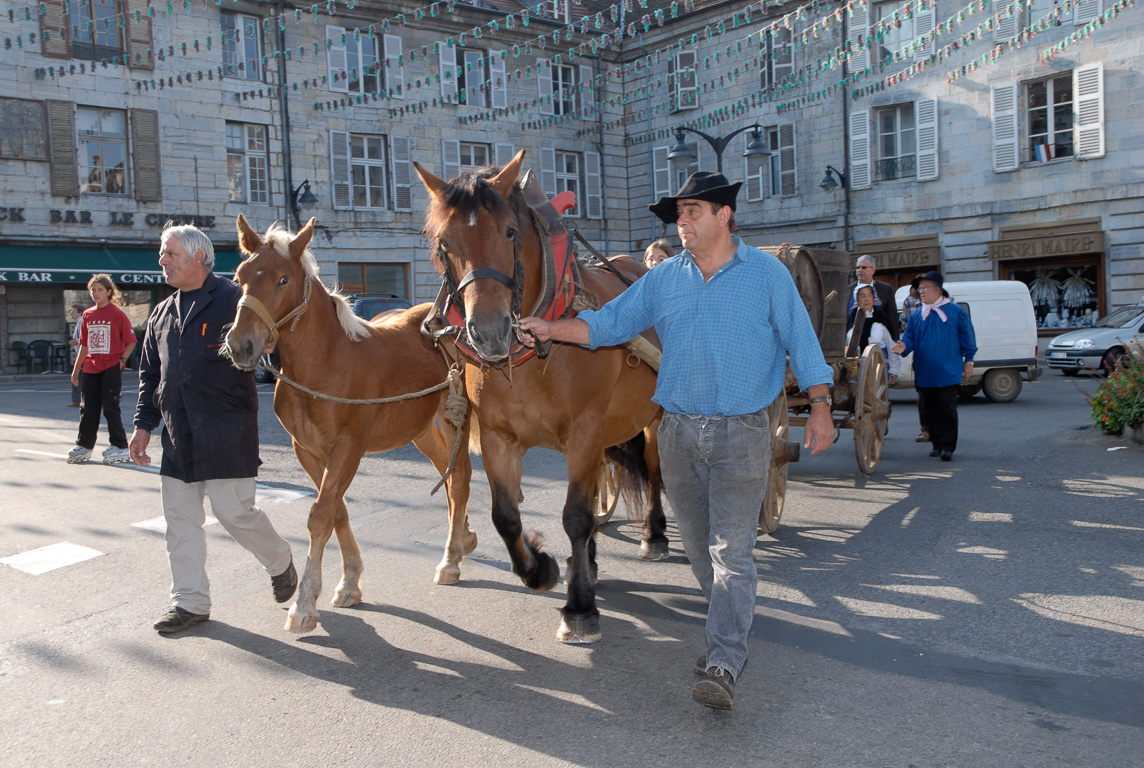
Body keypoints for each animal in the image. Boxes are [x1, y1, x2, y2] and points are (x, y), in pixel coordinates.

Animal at [225, 215, 475, 631]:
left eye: (282, 279)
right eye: (239, 277)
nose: (240, 345)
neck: (324, 365)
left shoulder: (347, 449)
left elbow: (320, 515)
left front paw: (304, 604)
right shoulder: (308, 451)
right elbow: (336, 510)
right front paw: (350, 582)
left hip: (456, 419)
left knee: (460, 479)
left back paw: (450, 559)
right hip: (422, 430)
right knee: (448, 470)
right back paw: (465, 538)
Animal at [416, 152, 663, 640]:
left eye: (510, 232)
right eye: (445, 242)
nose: (489, 331)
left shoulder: (584, 433)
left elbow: (576, 516)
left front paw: (580, 607)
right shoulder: (498, 437)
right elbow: (505, 516)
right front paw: (541, 567)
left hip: (656, 419)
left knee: (658, 472)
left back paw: (654, 535)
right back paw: (587, 560)